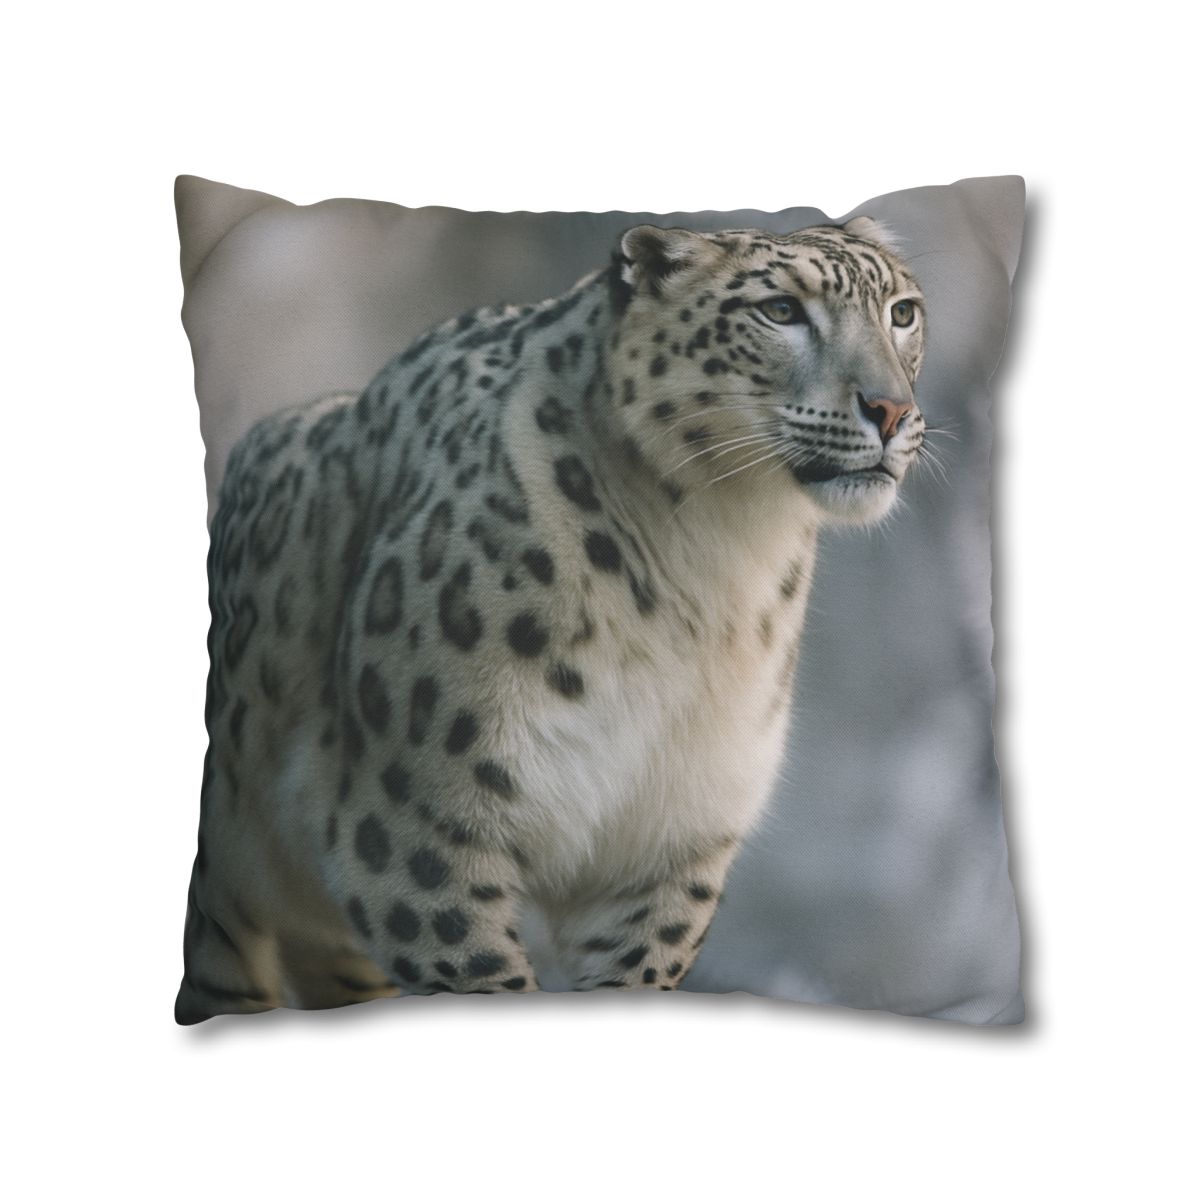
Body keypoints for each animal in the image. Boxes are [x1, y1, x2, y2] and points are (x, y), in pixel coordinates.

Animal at [176, 217, 927, 1023]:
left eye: (902, 313)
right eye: (780, 311)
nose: (891, 410)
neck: (718, 562)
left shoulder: (667, 842)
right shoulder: (417, 828)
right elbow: (480, 976)